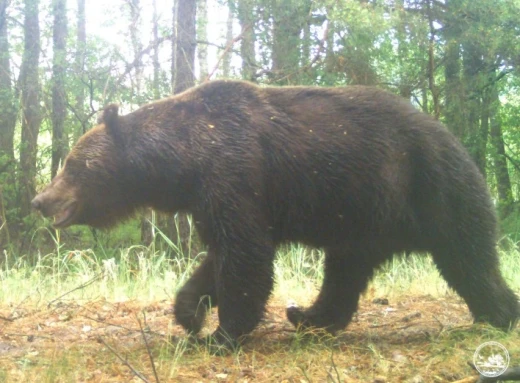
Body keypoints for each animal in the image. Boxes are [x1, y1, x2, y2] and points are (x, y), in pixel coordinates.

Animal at [33, 79, 520, 350]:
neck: (185, 160)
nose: (40, 199)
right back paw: (305, 317)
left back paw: (501, 315)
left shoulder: (236, 173)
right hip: (363, 219)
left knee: (470, 258)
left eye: (71, 165)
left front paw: (222, 335)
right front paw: (190, 314)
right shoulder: (210, 198)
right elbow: (219, 258)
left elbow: (245, 259)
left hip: (433, 190)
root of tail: (455, 140)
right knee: (344, 275)